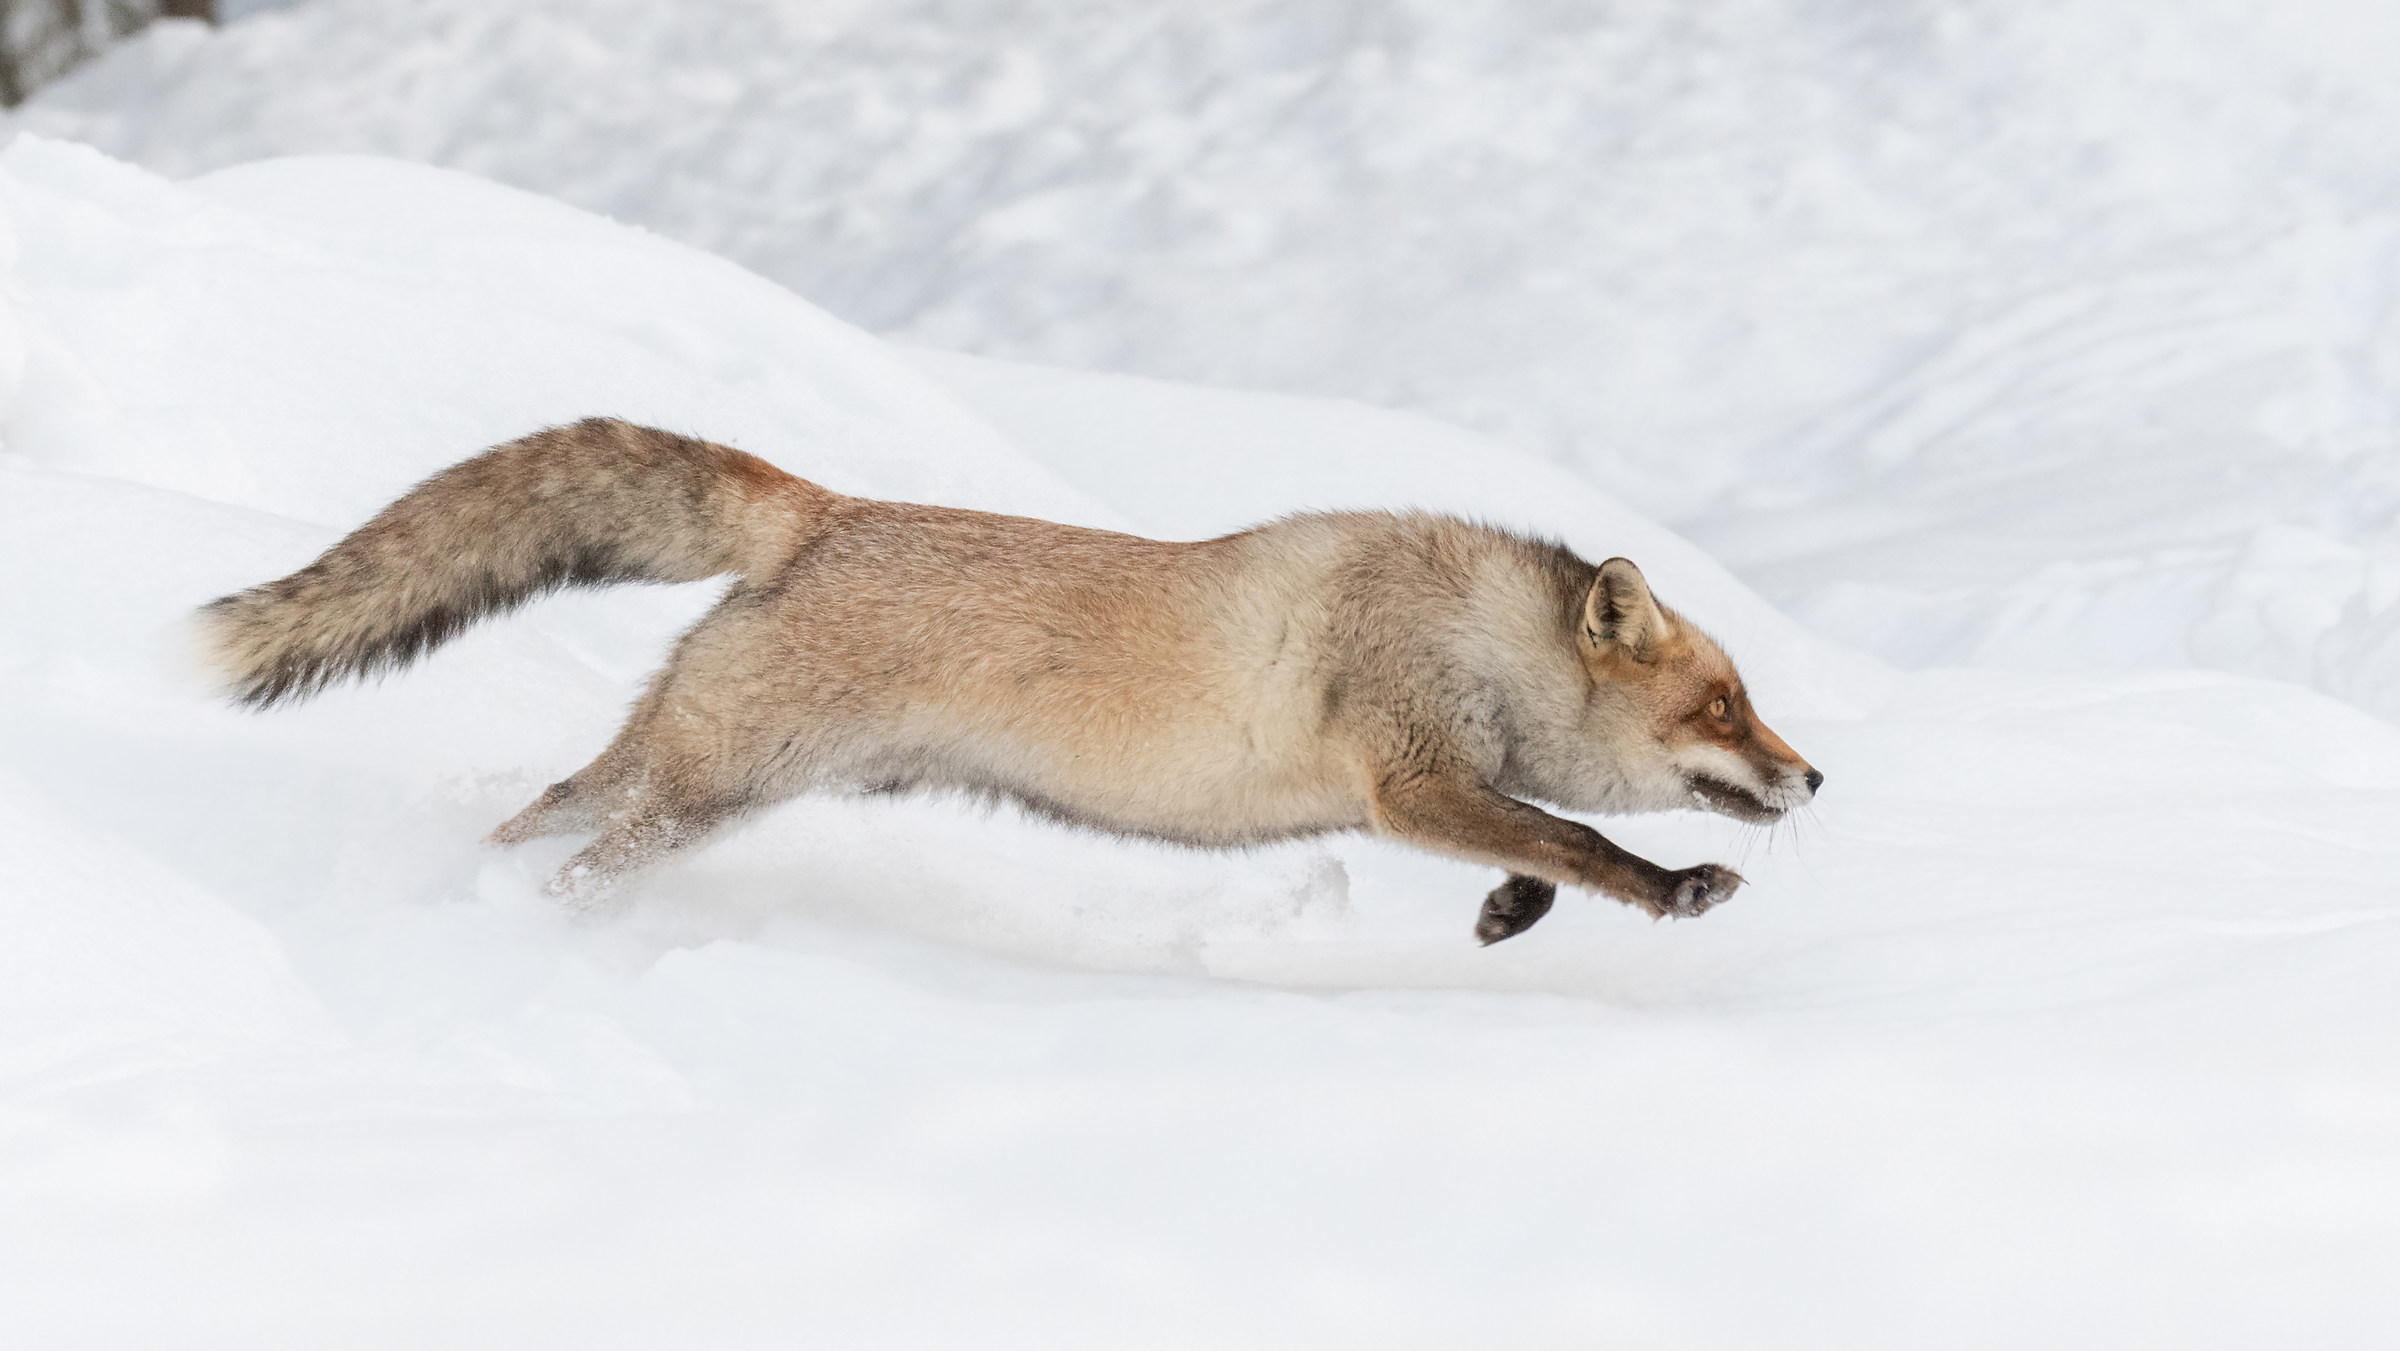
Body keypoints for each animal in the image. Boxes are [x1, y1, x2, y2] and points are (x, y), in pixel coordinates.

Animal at [197, 418, 1820, 944]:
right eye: (1724, 709)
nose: (1814, 775)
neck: (1471, 631)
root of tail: (827, 508)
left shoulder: (1436, 793)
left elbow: (1541, 847)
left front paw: (1506, 914)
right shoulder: (1410, 781)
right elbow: (1588, 839)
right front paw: (1672, 889)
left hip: (693, 782)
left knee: (536, 809)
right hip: (695, 791)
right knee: (565, 850)